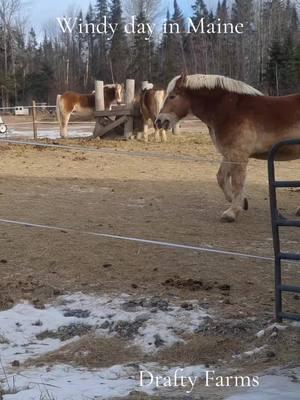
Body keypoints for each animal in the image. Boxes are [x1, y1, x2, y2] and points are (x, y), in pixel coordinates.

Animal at [157, 74, 300, 223]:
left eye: (172, 96)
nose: (159, 121)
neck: (230, 110)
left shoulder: (238, 155)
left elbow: (237, 182)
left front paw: (232, 213)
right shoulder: (228, 154)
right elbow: (221, 177)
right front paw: (242, 202)